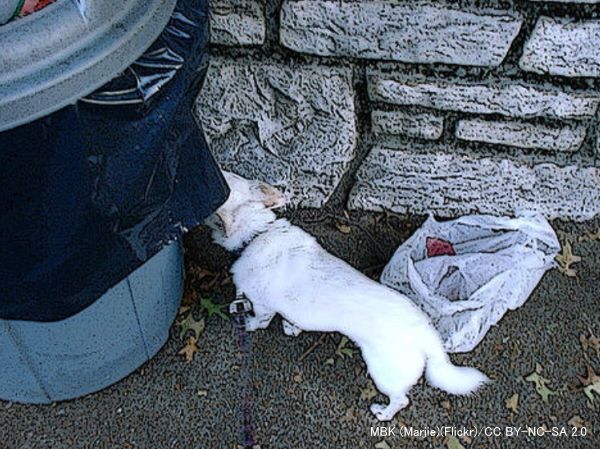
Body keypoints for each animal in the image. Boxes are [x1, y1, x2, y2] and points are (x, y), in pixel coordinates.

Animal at [206, 172, 488, 420]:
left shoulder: (263, 305)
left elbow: (259, 320)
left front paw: (249, 324)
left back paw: (382, 413)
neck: (256, 235)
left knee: (401, 399)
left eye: (224, 178)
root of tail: (426, 333)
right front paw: (291, 327)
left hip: (383, 372)